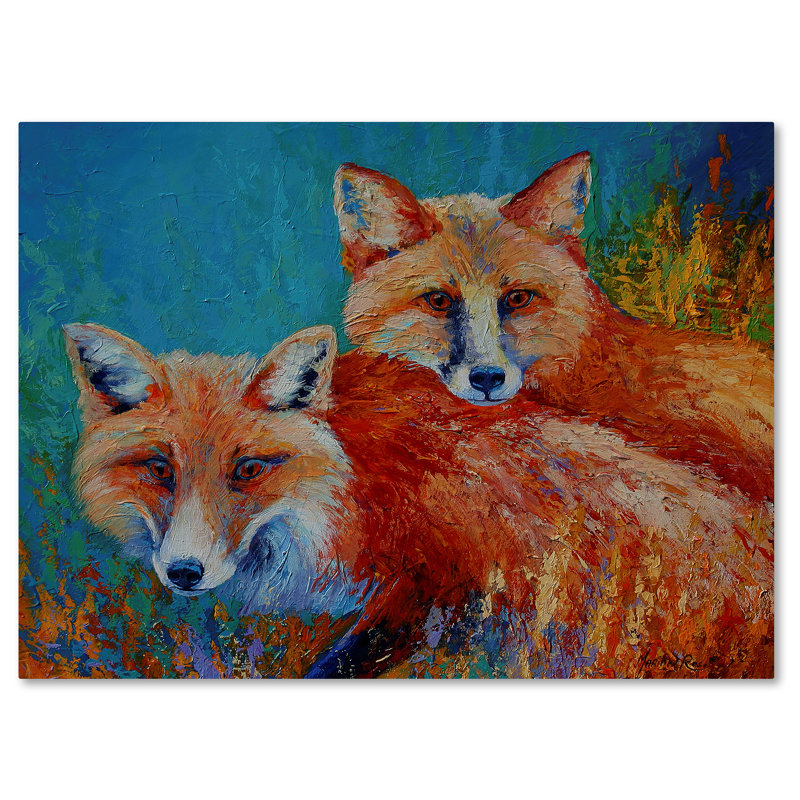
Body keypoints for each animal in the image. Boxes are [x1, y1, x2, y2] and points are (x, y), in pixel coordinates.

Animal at [65, 323, 773, 678]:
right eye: (160, 469)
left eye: (248, 469)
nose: (184, 572)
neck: (358, 486)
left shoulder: (441, 579)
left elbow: (335, 669)